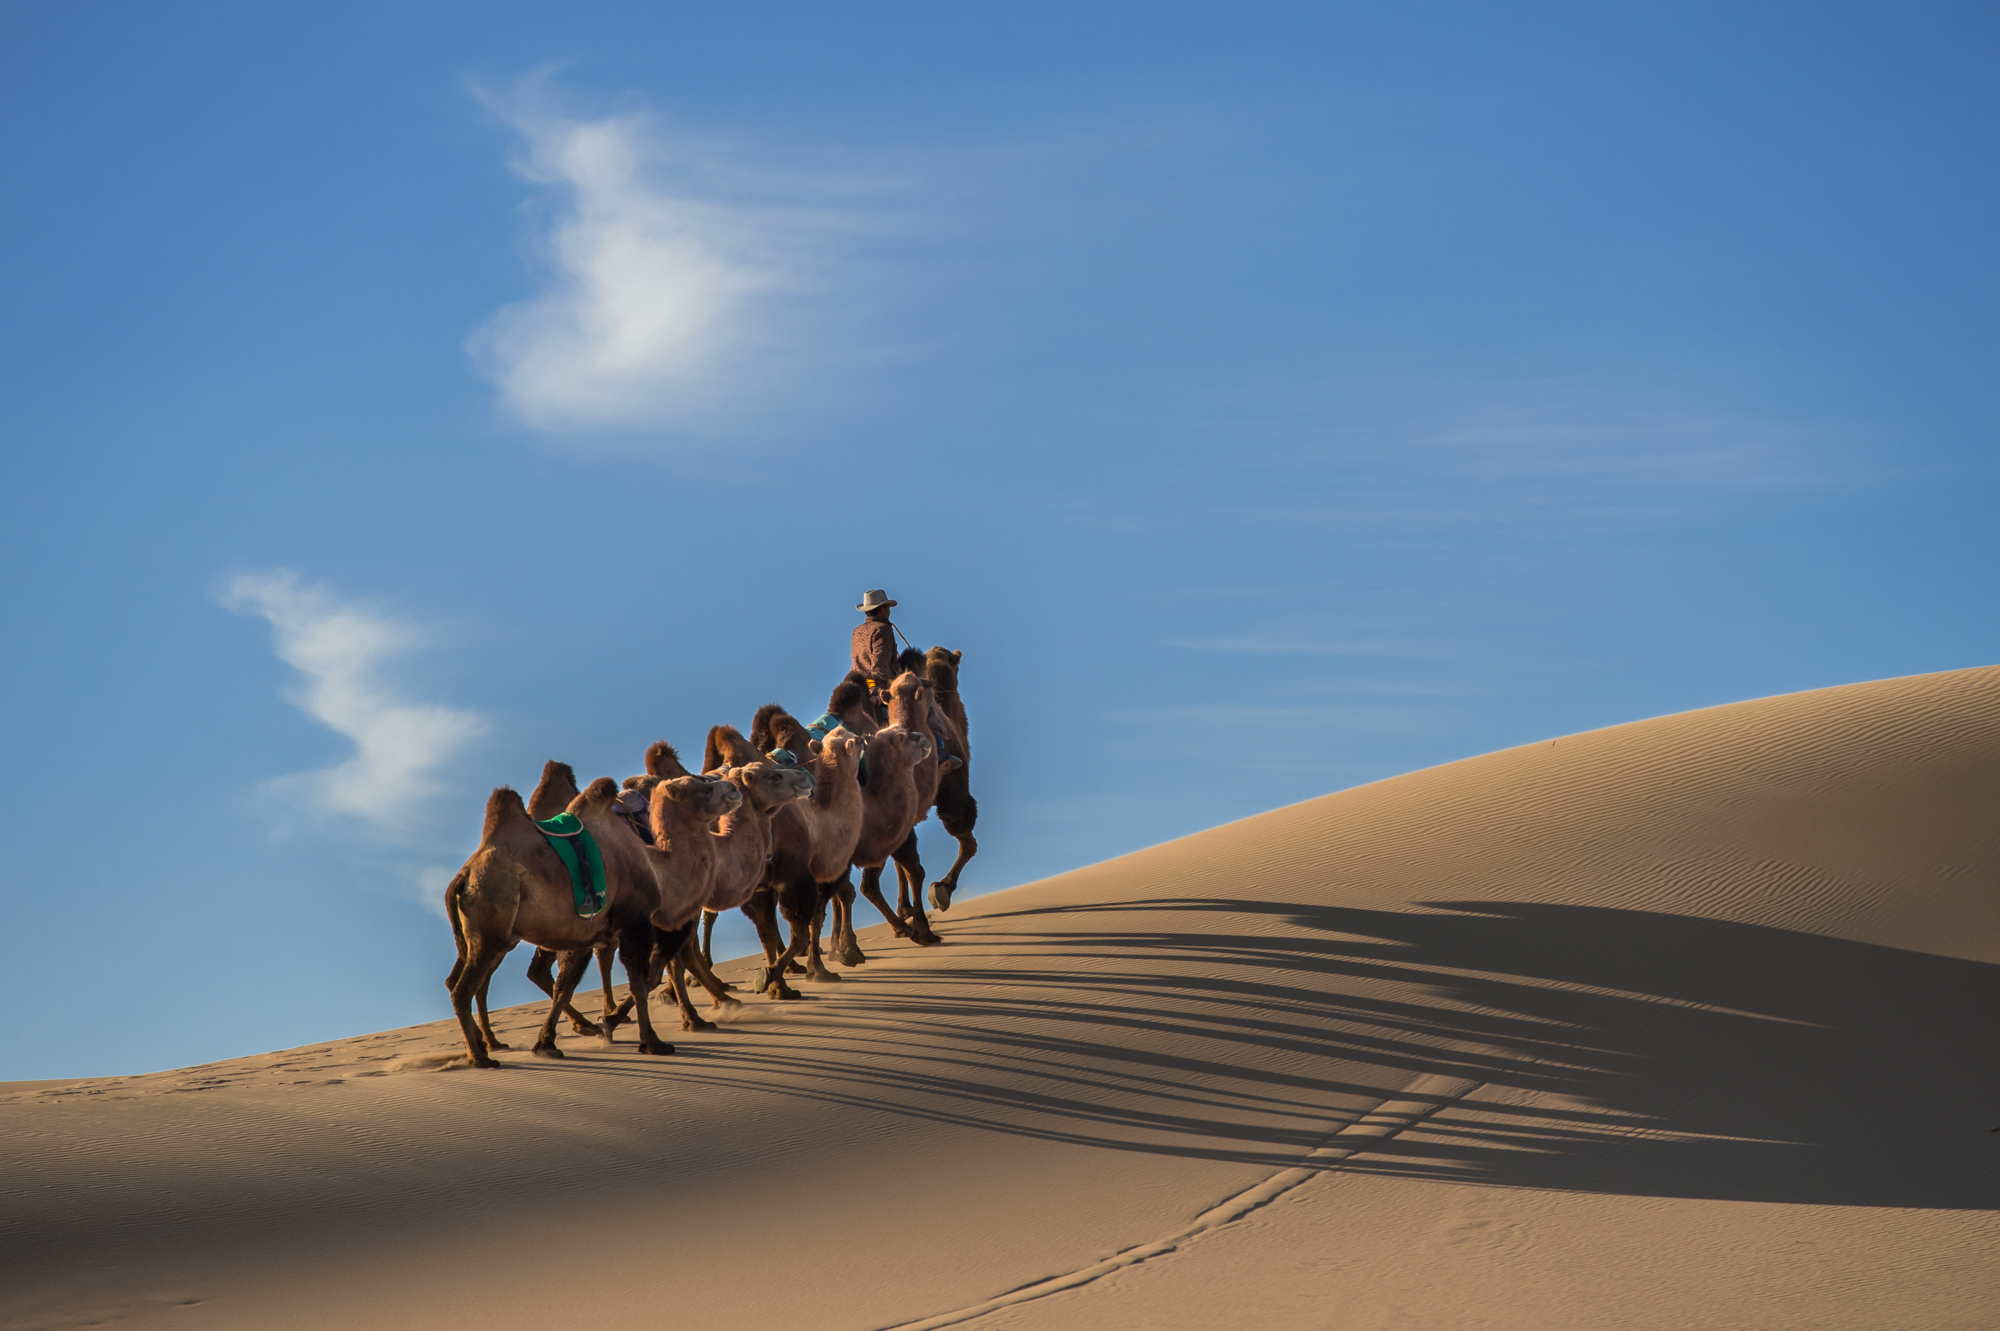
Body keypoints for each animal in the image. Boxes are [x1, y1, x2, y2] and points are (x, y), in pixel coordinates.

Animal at [442, 771, 740, 1063]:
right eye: (705, 789)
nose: (734, 788)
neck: (658, 872)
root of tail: (465, 876)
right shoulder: (635, 923)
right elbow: (640, 983)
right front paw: (651, 1042)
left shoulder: (582, 935)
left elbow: (565, 986)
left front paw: (547, 1043)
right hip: (491, 929)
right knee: (464, 989)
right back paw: (479, 1056)